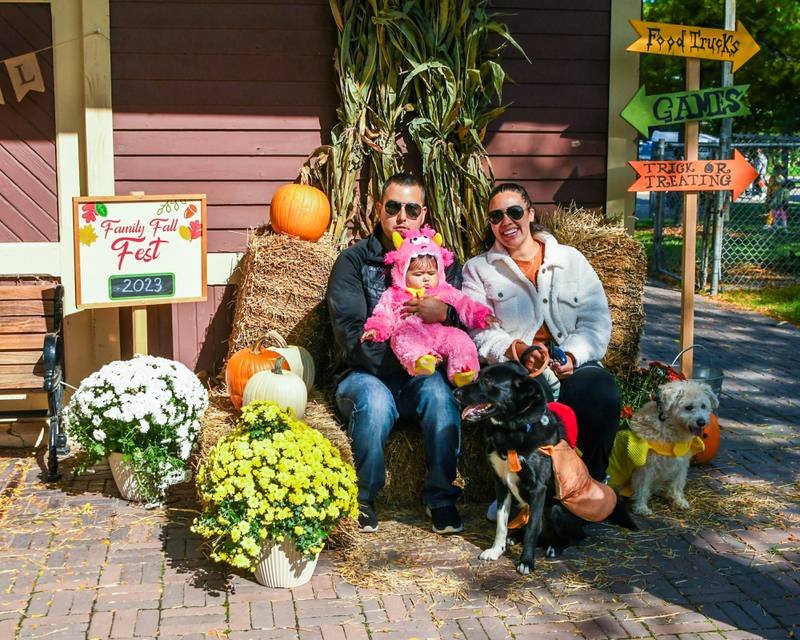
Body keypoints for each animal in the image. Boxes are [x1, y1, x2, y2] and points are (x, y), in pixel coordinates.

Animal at [454, 360, 636, 576]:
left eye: (488, 381)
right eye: (478, 376)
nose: (455, 392)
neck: (512, 428)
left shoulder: (538, 489)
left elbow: (533, 528)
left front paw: (526, 562)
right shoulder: (501, 484)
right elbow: (501, 523)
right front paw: (497, 550)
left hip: (555, 508)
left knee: (574, 536)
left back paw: (554, 546)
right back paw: (516, 536)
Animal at [612, 380, 720, 516]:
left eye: (703, 406)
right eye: (689, 407)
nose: (701, 422)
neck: (670, 429)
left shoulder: (681, 464)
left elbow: (678, 484)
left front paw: (679, 501)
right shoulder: (646, 467)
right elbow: (642, 488)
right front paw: (641, 507)